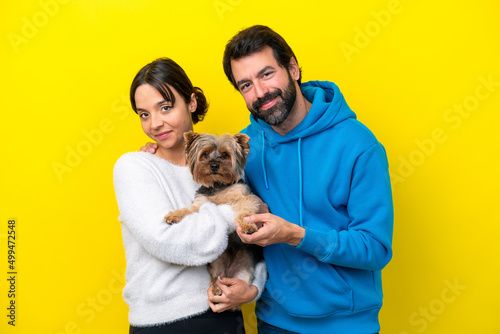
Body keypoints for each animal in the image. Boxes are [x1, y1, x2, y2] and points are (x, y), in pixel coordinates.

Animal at [166, 130, 264, 306]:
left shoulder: (243, 197)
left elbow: (245, 210)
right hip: (217, 262)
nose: (213, 165)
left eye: (225, 155)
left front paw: (247, 226)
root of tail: (229, 271)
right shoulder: (200, 204)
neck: (218, 184)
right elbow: (188, 210)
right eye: (205, 154)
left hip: (244, 271)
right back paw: (217, 288)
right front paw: (174, 215)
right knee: (216, 276)